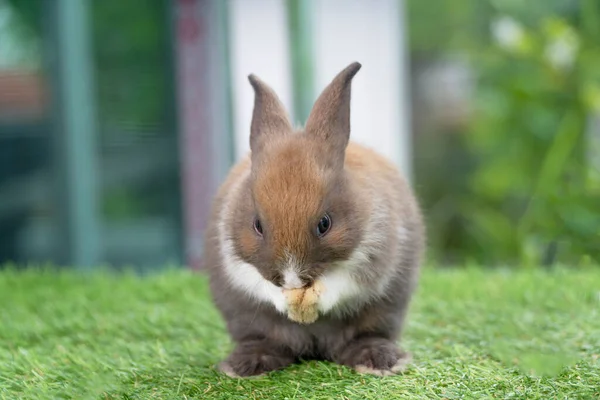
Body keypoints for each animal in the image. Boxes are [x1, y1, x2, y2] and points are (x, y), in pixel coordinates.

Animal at [205, 61, 426, 376]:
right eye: (257, 225)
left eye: (325, 224)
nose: (291, 278)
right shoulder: (234, 258)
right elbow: (257, 282)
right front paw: (287, 302)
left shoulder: (375, 254)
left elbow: (344, 282)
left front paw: (312, 300)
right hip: (249, 323)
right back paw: (248, 365)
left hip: (382, 315)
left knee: (367, 336)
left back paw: (378, 361)